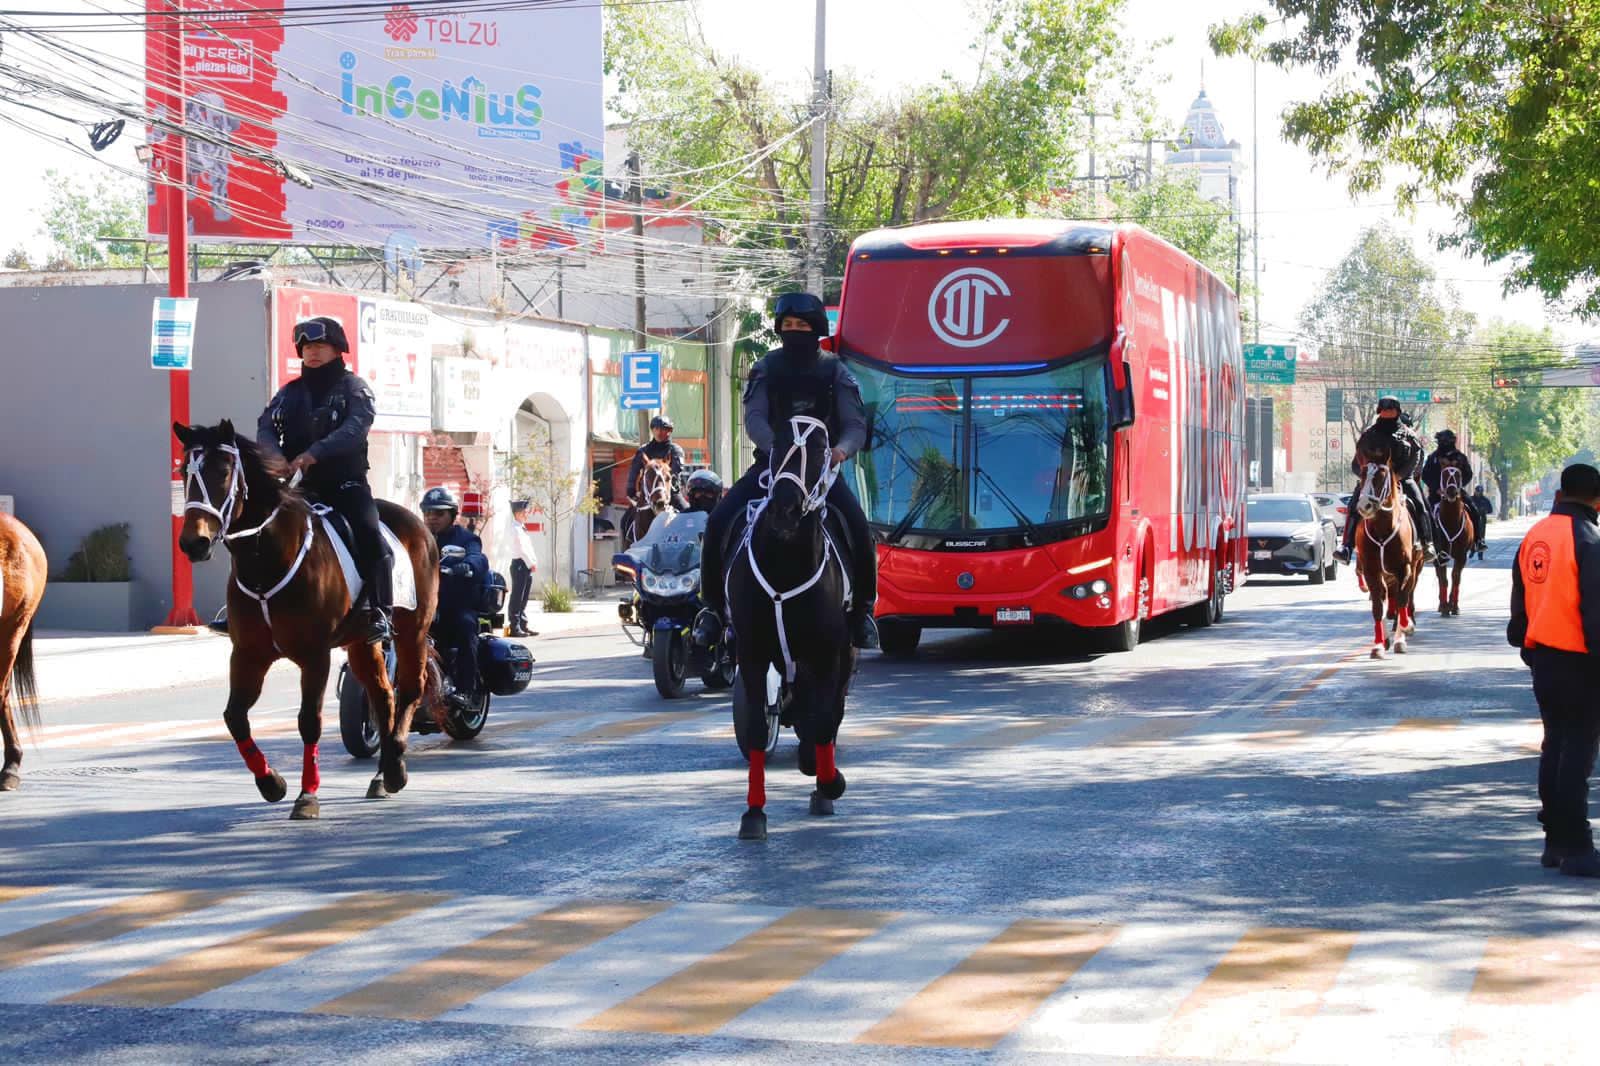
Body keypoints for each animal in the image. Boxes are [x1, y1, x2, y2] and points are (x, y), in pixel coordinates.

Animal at [173, 419, 444, 816]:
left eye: (223, 471)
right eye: (184, 473)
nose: (194, 543)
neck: (266, 558)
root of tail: (418, 524)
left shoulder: (314, 656)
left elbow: (309, 721)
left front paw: (307, 795)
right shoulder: (248, 654)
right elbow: (234, 717)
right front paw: (271, 782)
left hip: (413, 630)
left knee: (409, 688)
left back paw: (395, 768)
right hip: (362, 642)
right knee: (383, 695)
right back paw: (381, 776)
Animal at [726, 416, 851, 838]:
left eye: (822, 449)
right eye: (777, 445)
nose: (784, 510)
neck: (785, 560)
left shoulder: (828, 653)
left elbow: (825, 720)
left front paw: (829, 780)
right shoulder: (751, 652)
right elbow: (755, 729)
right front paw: (753, 812)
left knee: (828, 712)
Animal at [1356, 444, 1420, 656]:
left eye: (1381, 476)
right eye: (1362, 474)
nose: (1364, 506)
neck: (1383, 528)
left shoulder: (1404, 569)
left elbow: (1402, 599)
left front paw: (1402, 634)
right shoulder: (1371, 571)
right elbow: (1377, 606)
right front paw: (1378, 644)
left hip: (1414, 568)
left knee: (1406, 595)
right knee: (1387, 597)